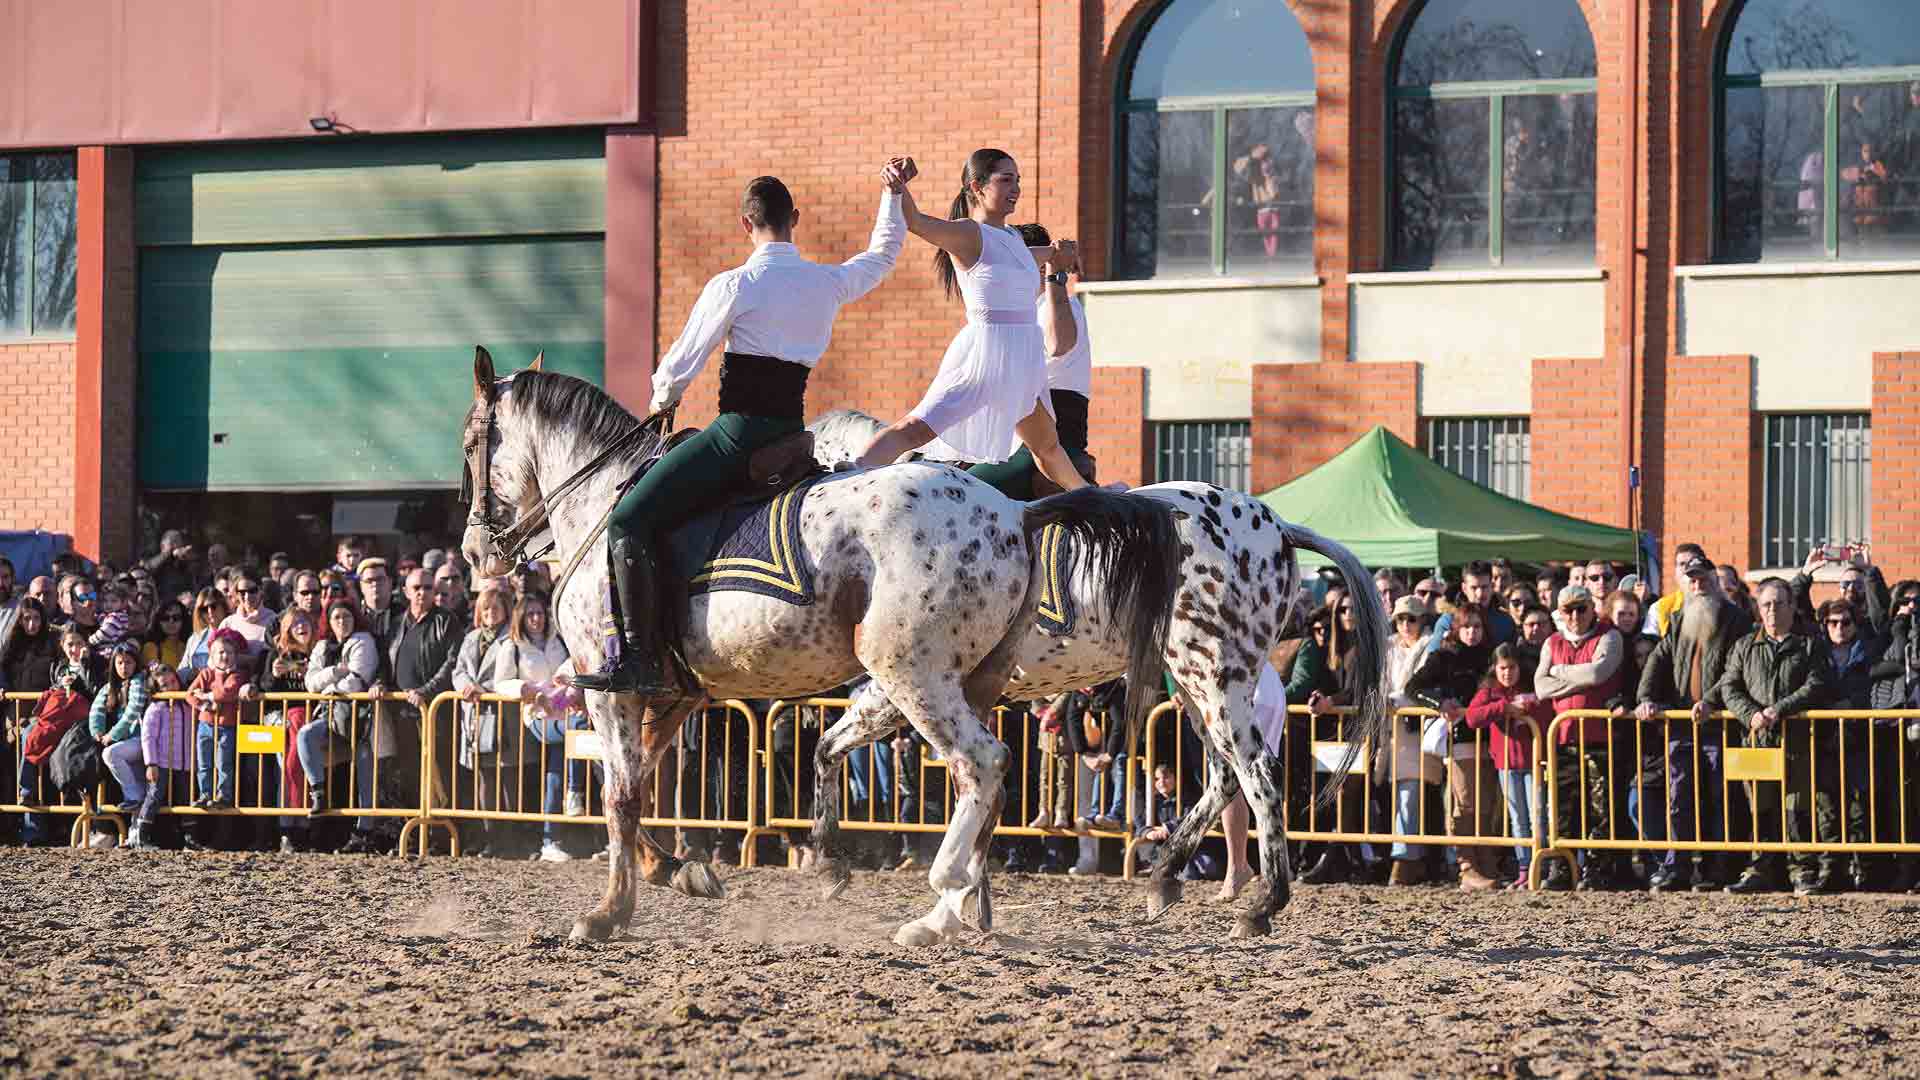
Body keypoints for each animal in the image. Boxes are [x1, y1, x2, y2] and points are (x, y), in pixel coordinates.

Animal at [457, 349, 1182, 946]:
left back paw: (948, 889)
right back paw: (956, 906)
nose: (472, 552)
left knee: (985, 763)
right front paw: (675, 871)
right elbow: (639, 782)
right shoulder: (675, 693)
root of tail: (1015, 514)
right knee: (982, 781)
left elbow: (621, 796)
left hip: (910, 672)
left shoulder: (611, 686)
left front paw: (609, 913)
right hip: (968, 679)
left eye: (470, 444)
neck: (600, 506)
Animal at [809, 409, 1392, 940]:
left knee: (1259, 774)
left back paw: (1261, 904)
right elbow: (850, 753)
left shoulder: (911, 683)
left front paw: (948, 909)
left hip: (1218, 682)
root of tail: (1279, 528)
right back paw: (1165, 877)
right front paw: (964, 906)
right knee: (1225, 776)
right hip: (1193, 687)